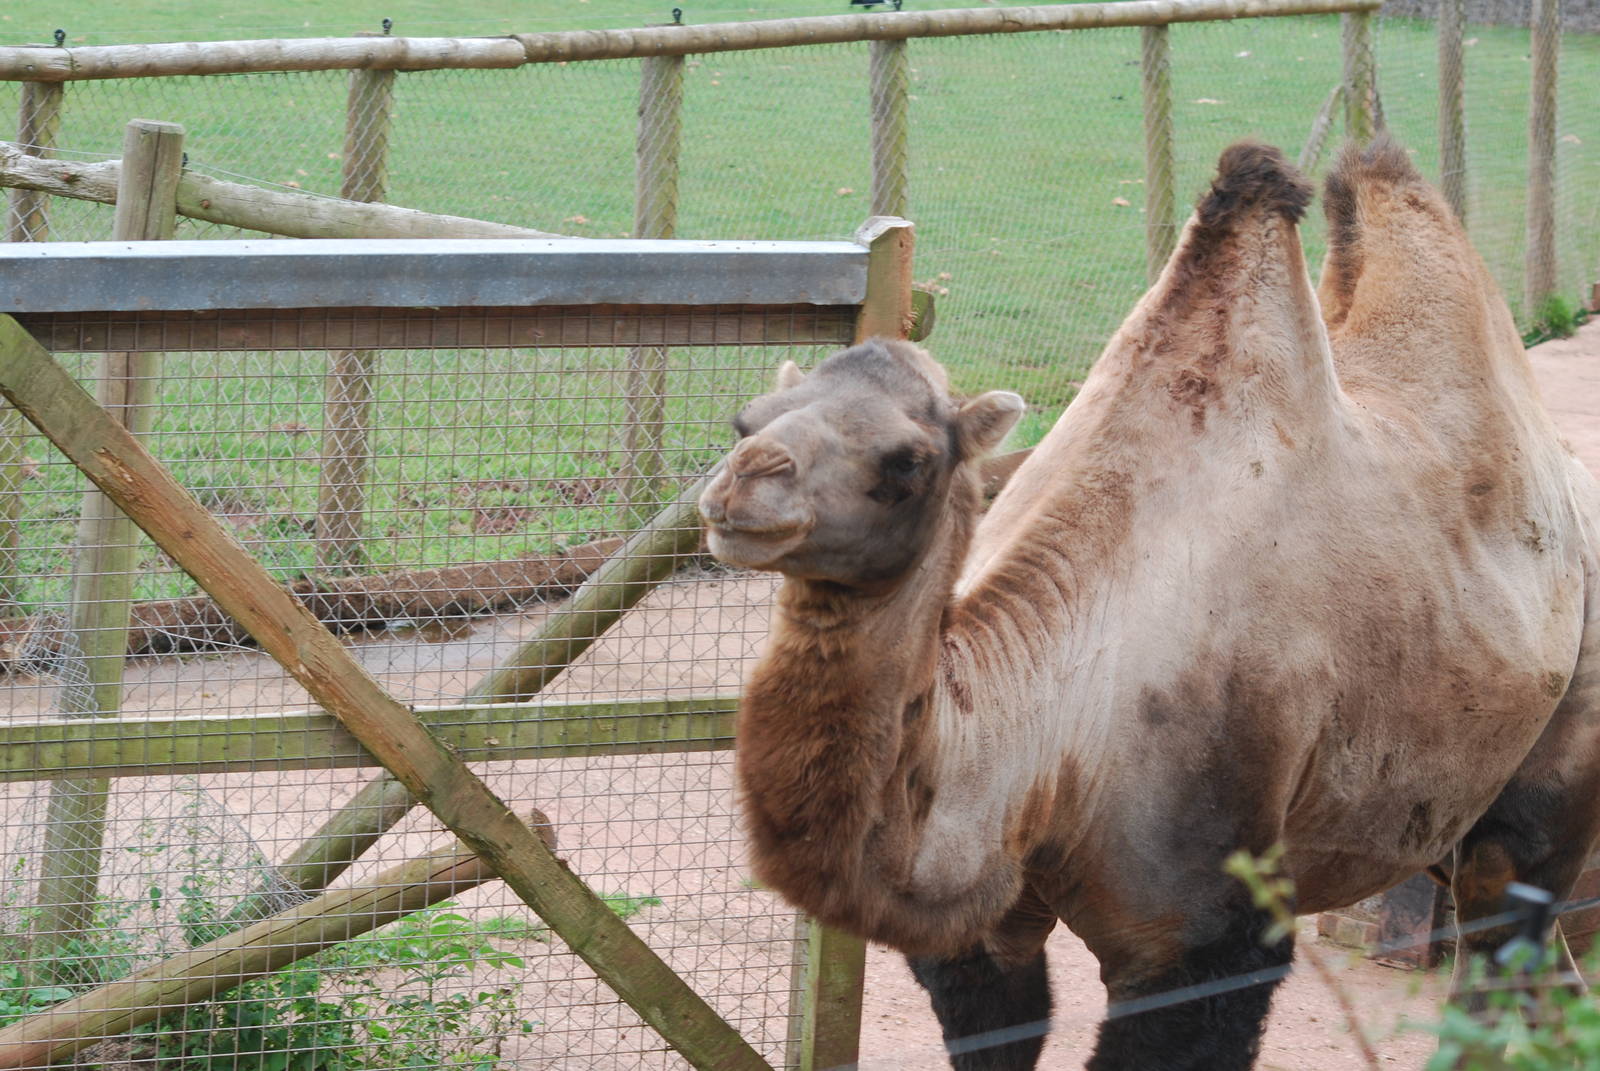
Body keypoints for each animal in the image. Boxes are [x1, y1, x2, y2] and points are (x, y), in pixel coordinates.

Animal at [697, 136, 1600, 1069]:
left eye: (908, 460)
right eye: (744, 419)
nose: (742, 486)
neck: (1058, 722)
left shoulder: (1203, 933)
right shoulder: (986, 934)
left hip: (1562, 731)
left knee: (1504, 922)